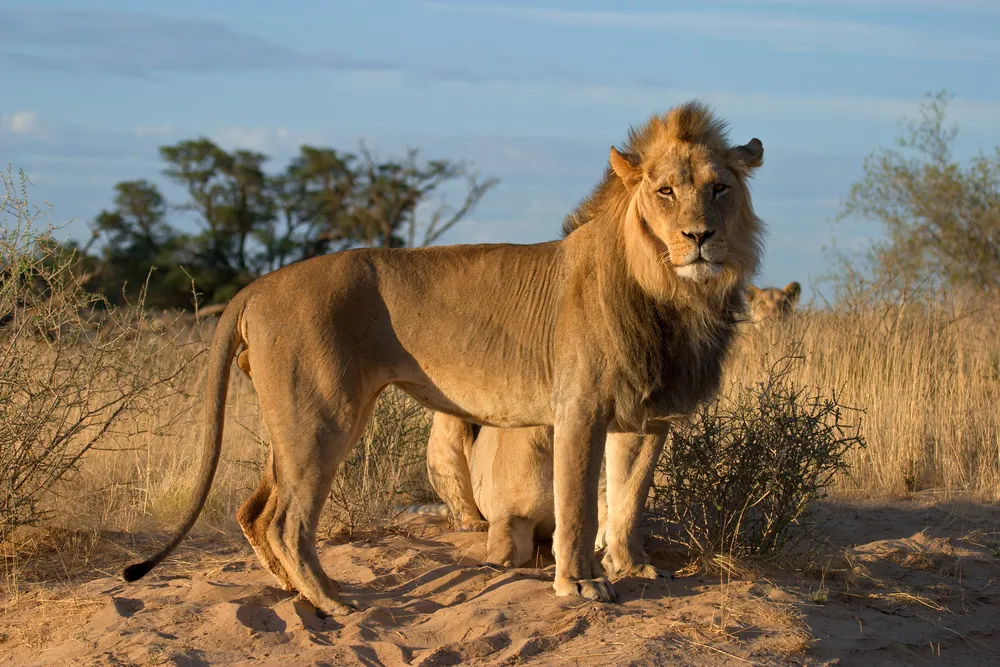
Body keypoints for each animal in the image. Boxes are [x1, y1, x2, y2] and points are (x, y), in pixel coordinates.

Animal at [123, 100, 765, 616]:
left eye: (719, 188)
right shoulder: (579, 409)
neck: (673, 292)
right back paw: (332, 600)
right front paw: (581, 585)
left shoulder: (647, 415)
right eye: (665, 191)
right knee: (285, 520)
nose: (700, 236)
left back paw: (294, 594)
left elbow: (629, 498)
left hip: (292, 423)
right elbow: (580, 507)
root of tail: (257, 286)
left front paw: (633, 569)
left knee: (254, 512)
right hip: (321, 416)